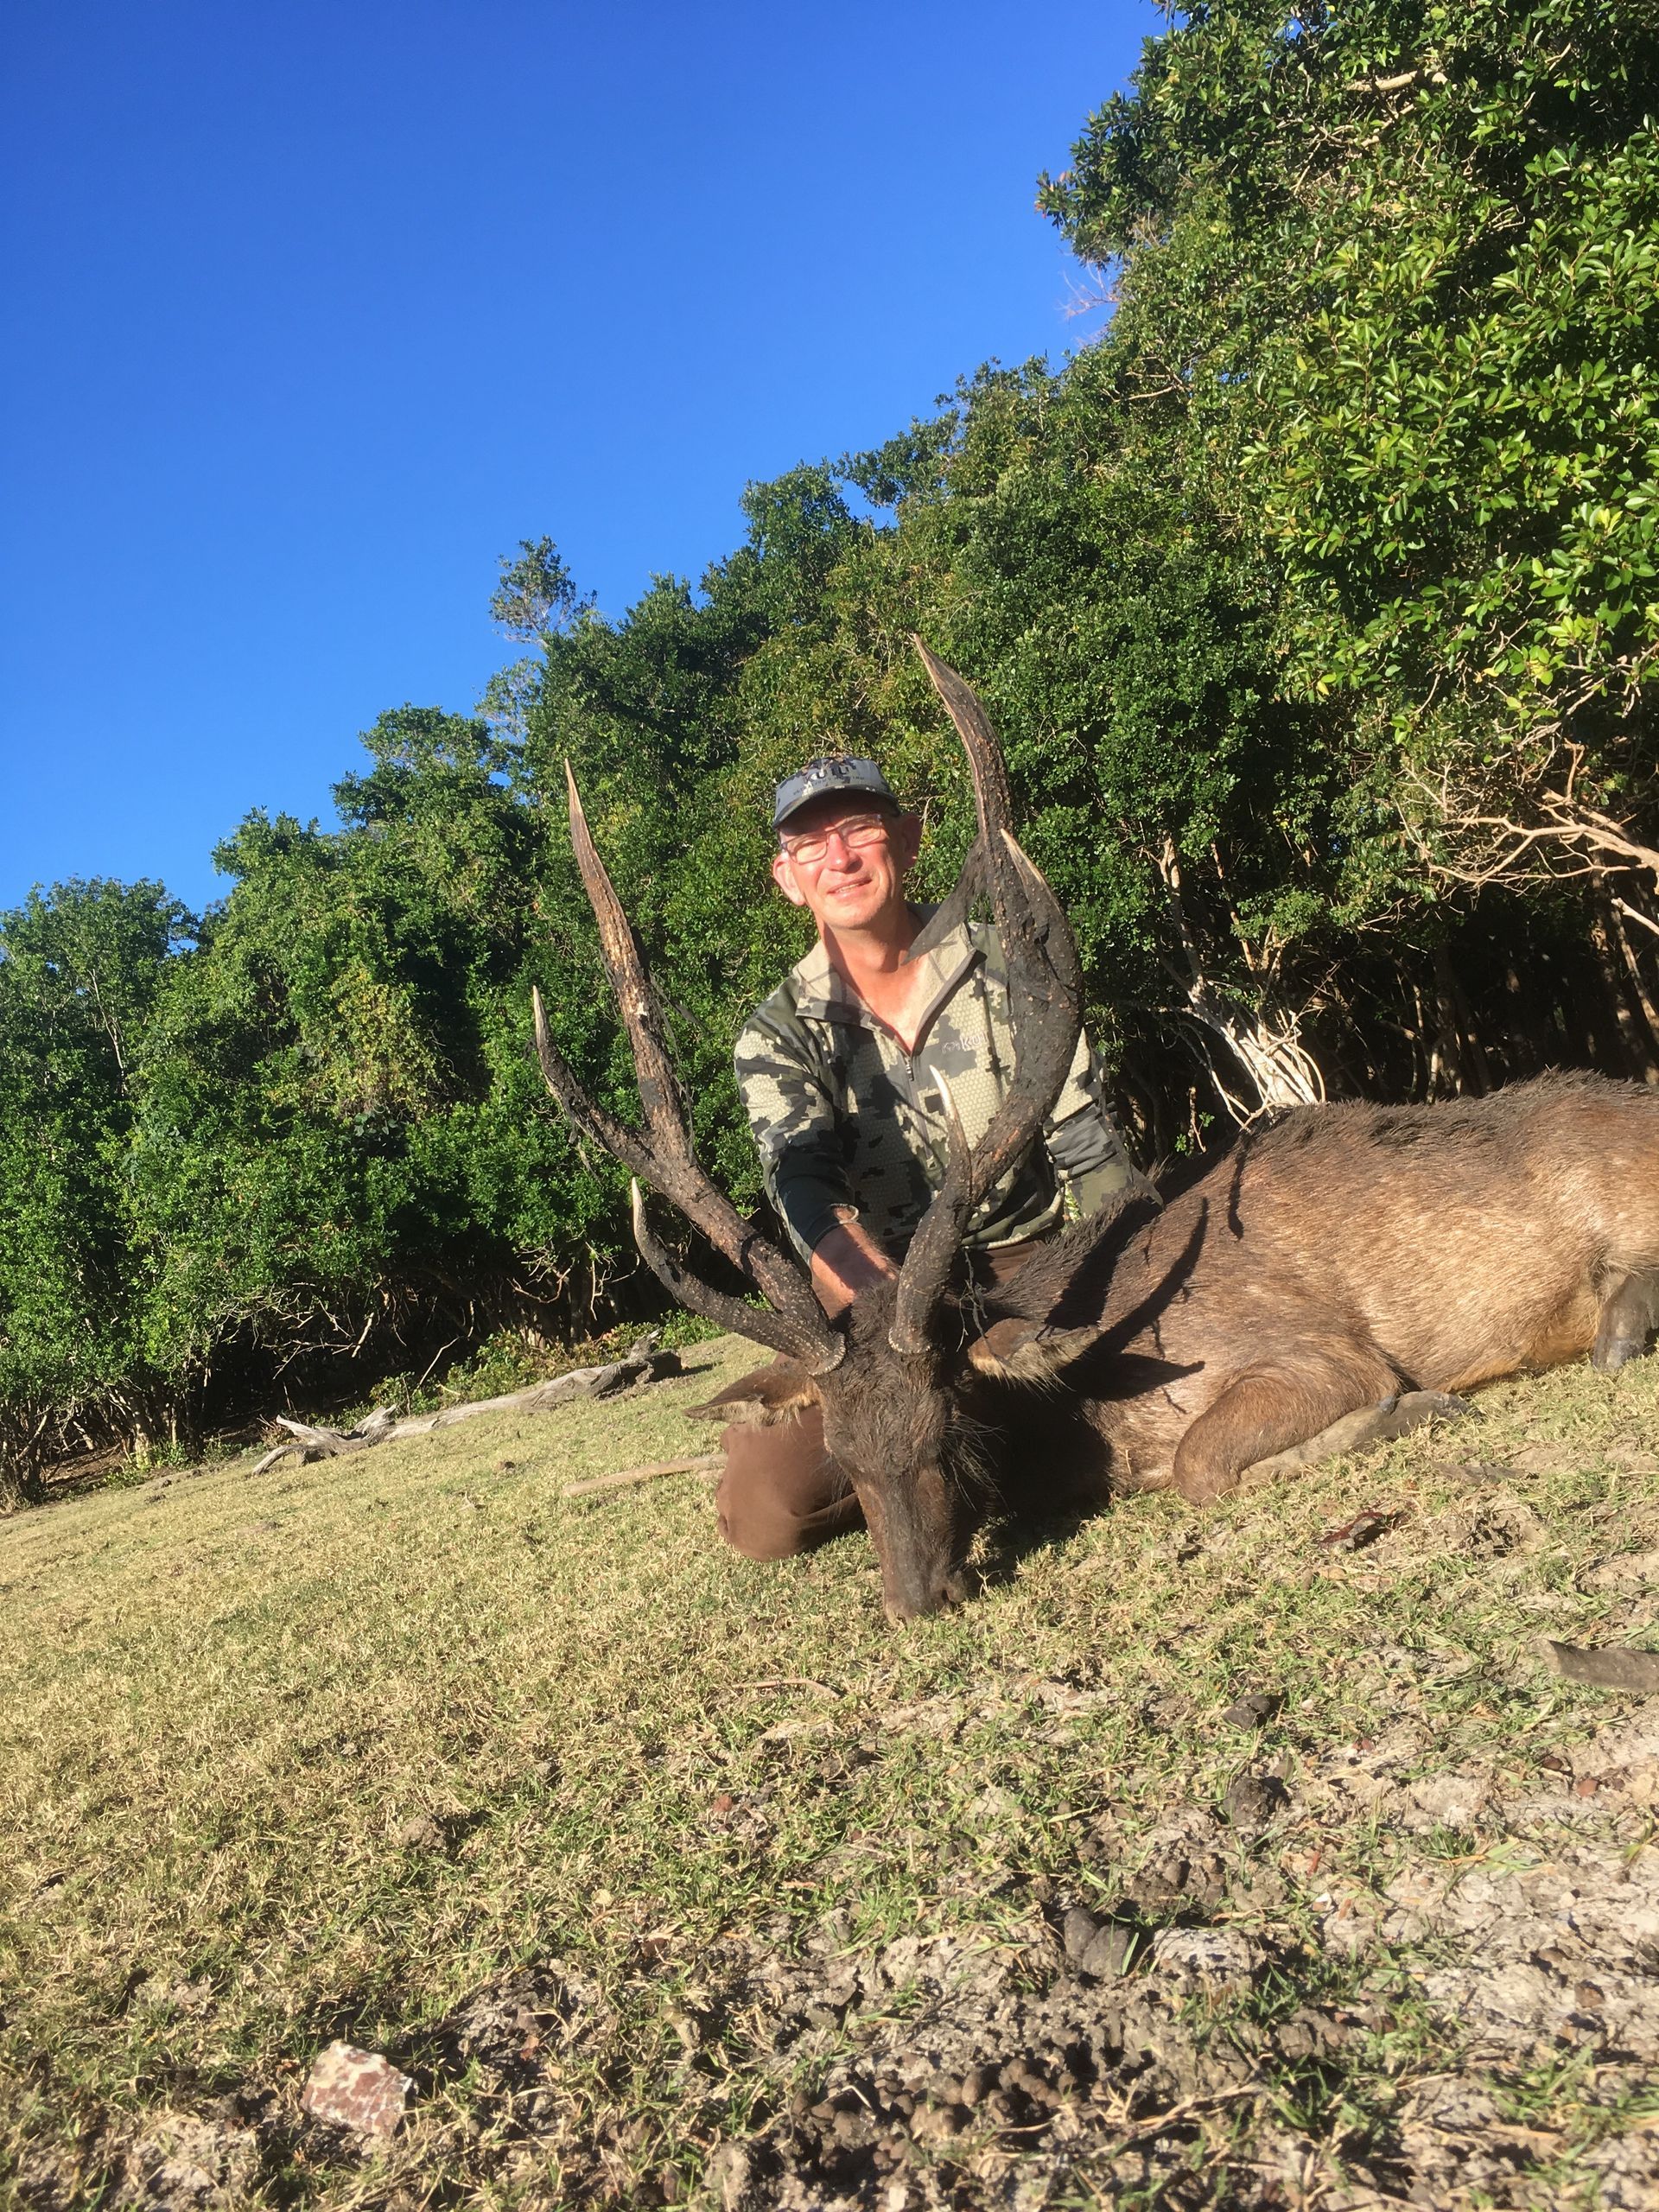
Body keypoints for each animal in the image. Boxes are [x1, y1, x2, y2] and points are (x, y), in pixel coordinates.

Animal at [533, 642, 1659, 1620]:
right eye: (844, 1459)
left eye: (951, 1430)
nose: (918, 1601)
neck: (1088, 1418)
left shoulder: (1315, 1351)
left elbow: (1206, 1463)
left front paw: (1415, 1410)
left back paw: (1618, 1324)